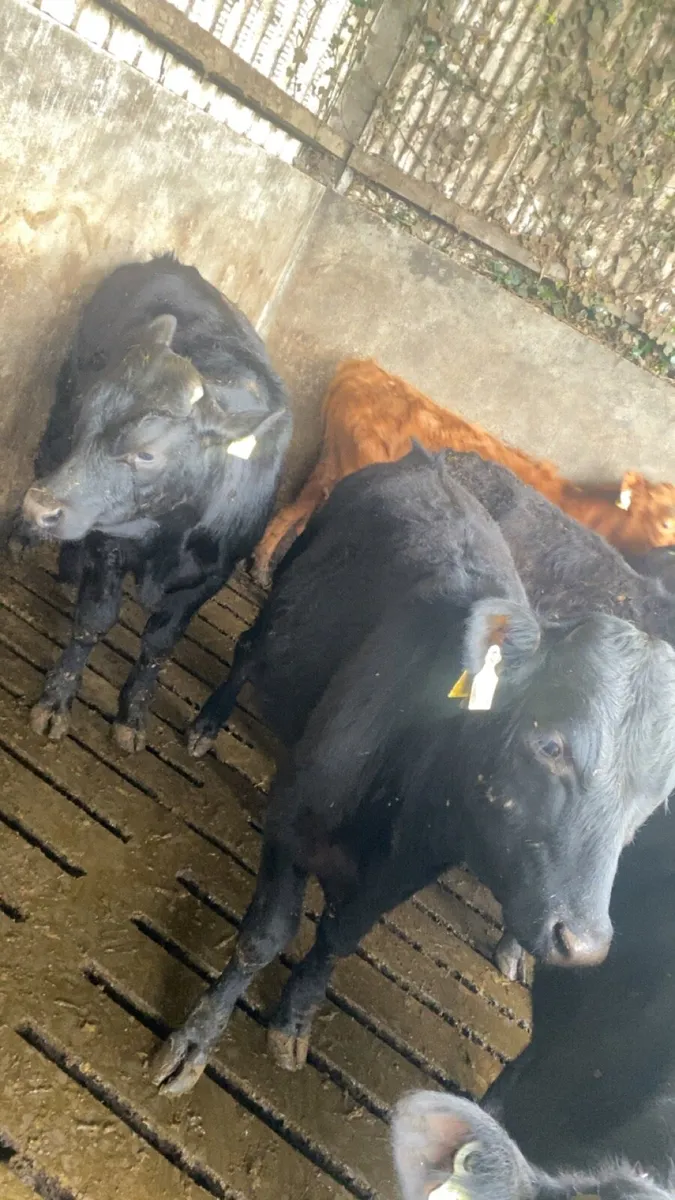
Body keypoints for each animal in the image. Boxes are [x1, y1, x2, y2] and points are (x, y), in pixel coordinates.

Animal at [17, 254, 291, 752]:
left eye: (147, 453)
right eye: (90, 411)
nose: (40, 507)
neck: (171, 532)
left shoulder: (208, 578)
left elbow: (159, 646)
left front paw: (133, 715)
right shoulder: (112, 542)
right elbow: (95, 620)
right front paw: (56, 701)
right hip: (58, 412)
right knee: (44, 457)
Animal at [149, 447, 675, 1096]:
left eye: (654, 801)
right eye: (551, 745)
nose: (583, 943)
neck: (409, 801)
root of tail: (429, 459)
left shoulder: (402, 875)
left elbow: (338, 938)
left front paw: (295, 1020)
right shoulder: (293, 820)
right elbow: (264, 938)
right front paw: (195, 1041)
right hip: (285, 594)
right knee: (249, 648)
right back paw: (207, 724)